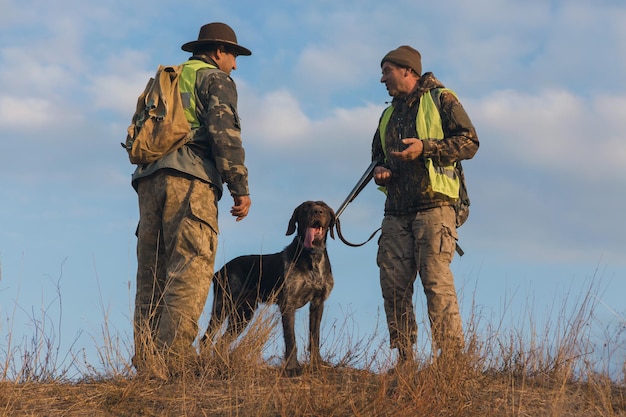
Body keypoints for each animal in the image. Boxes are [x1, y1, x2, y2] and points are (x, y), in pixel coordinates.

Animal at [202, 200, 334, 376]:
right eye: (306, 207)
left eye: (324, 207)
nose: (317, 211)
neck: (312, 257)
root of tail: (219, 271)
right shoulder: (288, 304)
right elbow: (290, 339)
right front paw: (292, 367)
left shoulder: (318, 303)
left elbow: (315, 336)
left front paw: (317, 363)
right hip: (222, 306)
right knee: (206, 339)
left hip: (243, 314)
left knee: (221, 343)